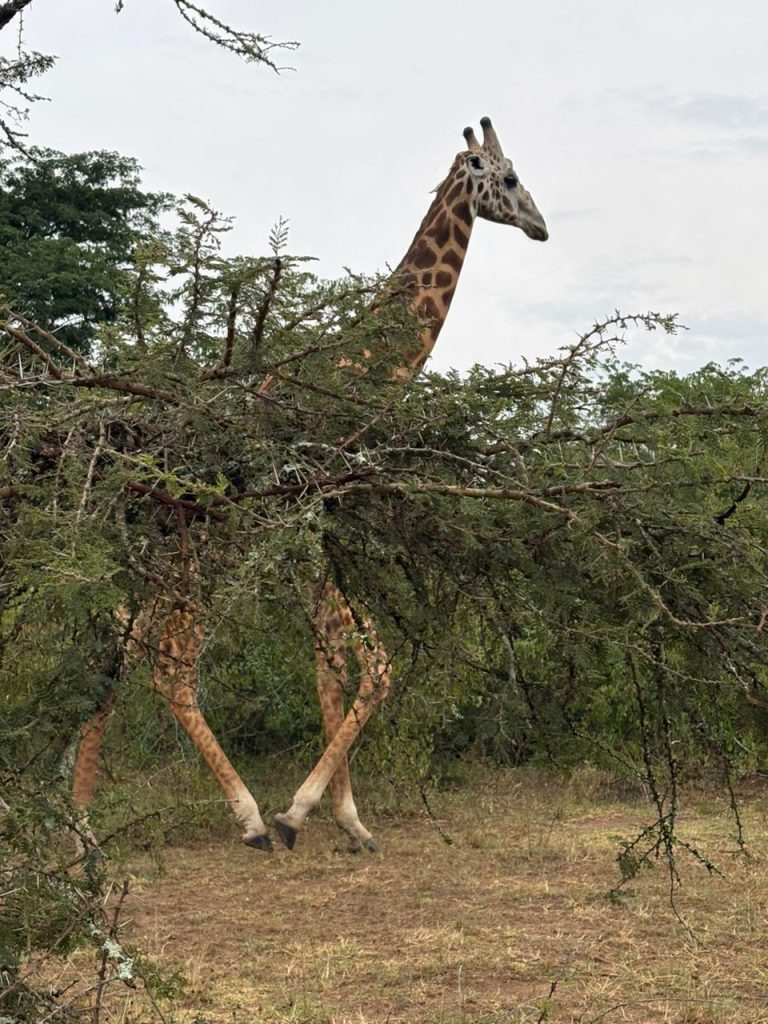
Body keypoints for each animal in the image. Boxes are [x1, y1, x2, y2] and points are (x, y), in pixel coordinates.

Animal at [71, 117, 547, 854]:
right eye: (512, 178)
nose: (541, 226)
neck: (355, 375)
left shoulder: (316, 546)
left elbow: (334, 667)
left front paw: (347, 819)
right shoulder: (310, 530)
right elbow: (370, 666)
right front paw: (300, 814)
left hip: (164, 574)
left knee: (120, 650)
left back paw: (81, 832)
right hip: (201, 568)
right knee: (171, 665)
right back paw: (246, 819)